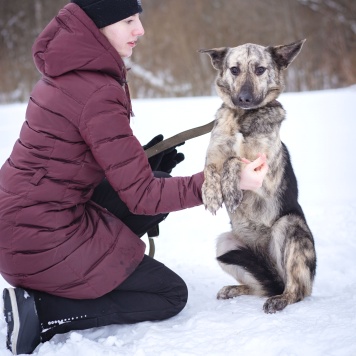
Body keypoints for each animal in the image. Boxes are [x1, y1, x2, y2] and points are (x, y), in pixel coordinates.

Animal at [200, 39, 318, 312]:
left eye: (260, 70)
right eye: (234, 70)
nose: (244, 98)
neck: (243, 117)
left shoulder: (265, 175)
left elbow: (234, 160)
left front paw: (230, 189)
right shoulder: (213, 156)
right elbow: (212, 168)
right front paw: (212, 194)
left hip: (290, 227)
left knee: (297, 290)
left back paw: (282, 299)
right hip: (225, 245)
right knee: (260, 287)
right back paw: (235, 289)